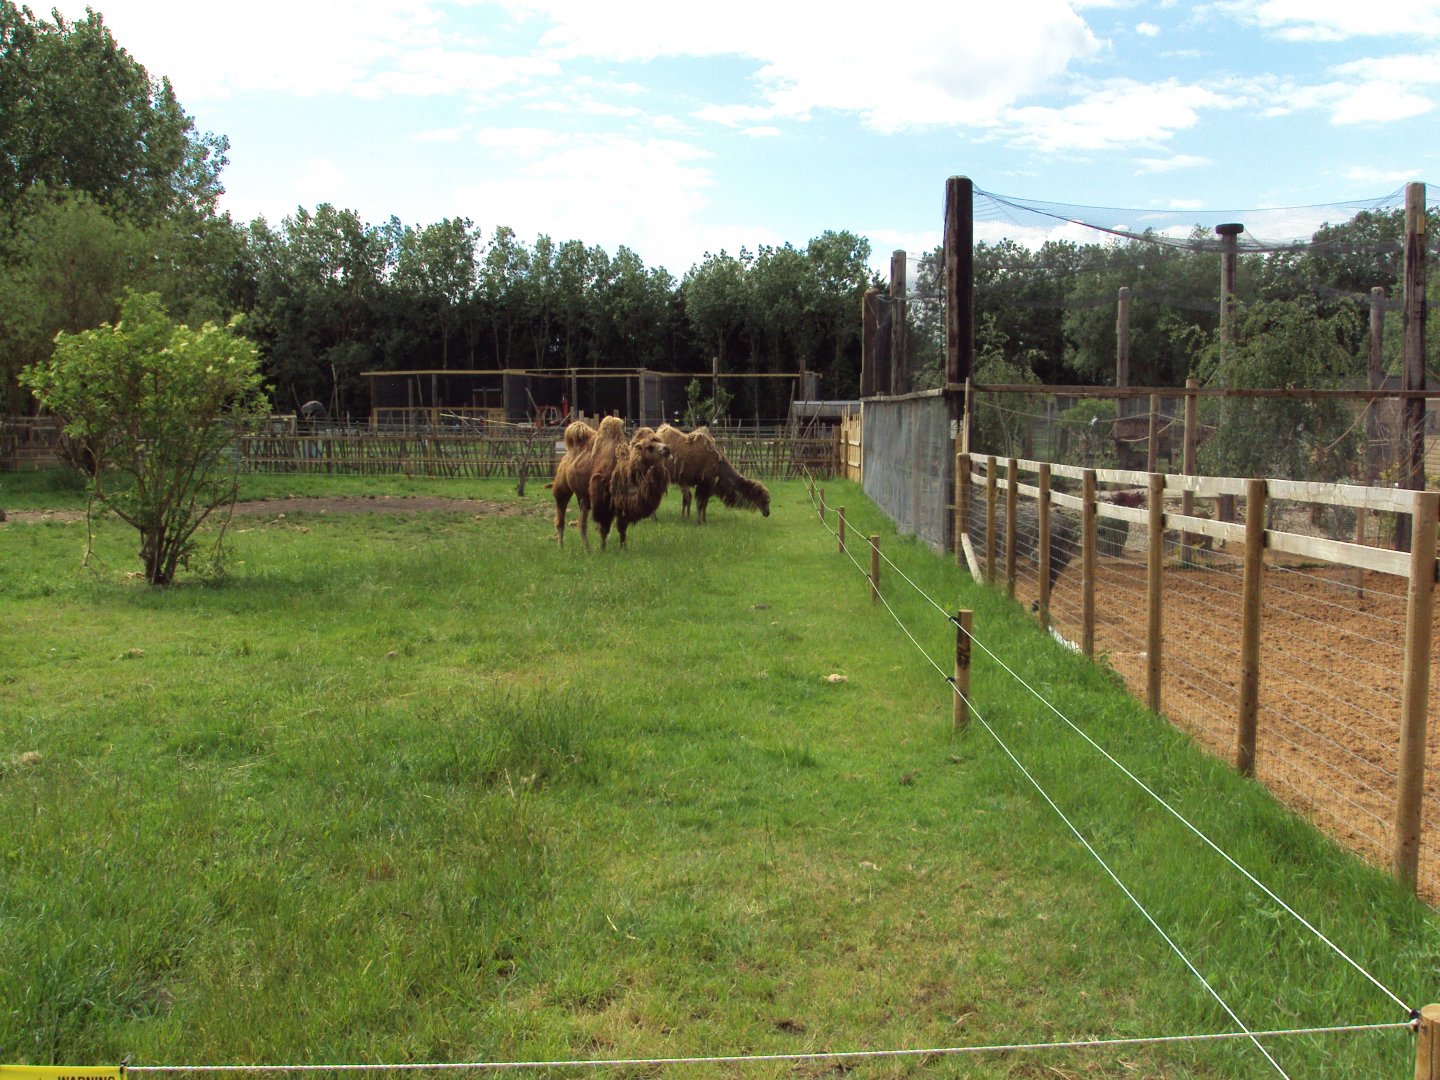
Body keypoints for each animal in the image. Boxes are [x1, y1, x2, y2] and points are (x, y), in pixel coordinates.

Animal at [552, 416, 626, 549]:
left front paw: (623, 547)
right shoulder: (602, 498)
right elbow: (604, 526)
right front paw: (603, 548)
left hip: (584, 497)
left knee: (582, 522)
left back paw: (586, 548)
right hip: (563, 489)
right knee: (561, 518)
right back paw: (562, 546)